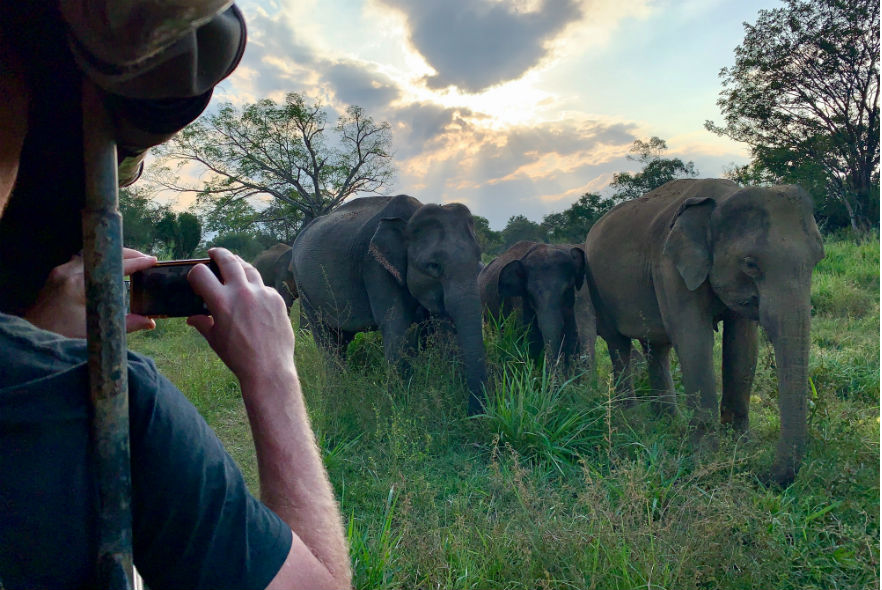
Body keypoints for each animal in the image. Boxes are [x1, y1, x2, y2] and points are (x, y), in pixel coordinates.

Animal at [290, 197, 488, 414]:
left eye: (479, 260)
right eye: (433, 266)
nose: (474, 413)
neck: (410, 219)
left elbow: (443, 327)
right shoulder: (376, 267)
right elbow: (396, 326)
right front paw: (399, 405)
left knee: (341, 339)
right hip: (305, 289)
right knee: (326, 339)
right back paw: (337, 396)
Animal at [584, 177, 824, 486]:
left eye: (818, 259)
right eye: (750, 264)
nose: (762, 476)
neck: (721, 201)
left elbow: (742, 344)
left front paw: (740, 445)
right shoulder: (670, 268)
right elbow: (693, 339)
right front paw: (707, 457)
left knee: (656, 347)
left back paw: (667, 420)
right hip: (597, 288)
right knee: (618, 345)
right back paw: (631, 418)